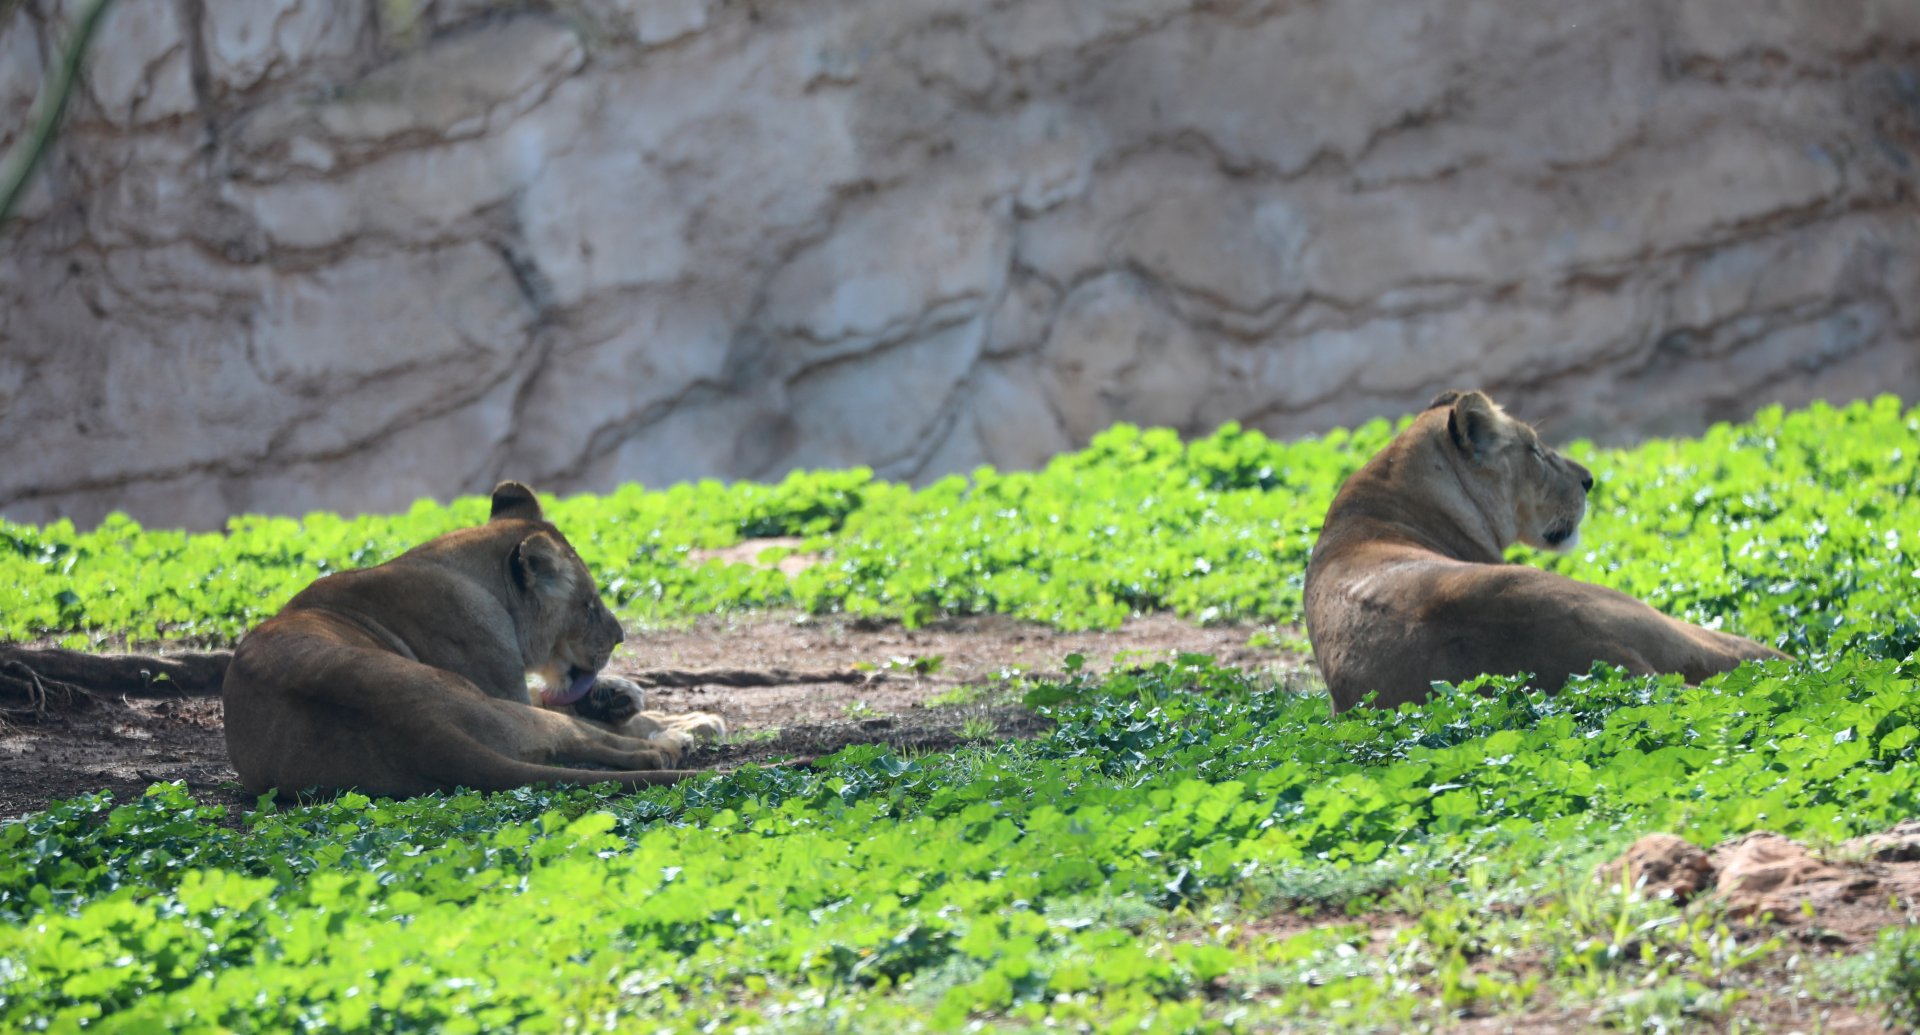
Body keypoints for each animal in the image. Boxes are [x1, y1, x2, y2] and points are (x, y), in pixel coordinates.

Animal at [221, 481, 729, 797]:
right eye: (587, 606)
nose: (620, 637)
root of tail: (420, 726)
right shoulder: (504, 687)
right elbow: (598, 721)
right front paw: (677, 722)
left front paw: (651, 705)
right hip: (496, 705)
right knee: (585, 739)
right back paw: (667, 748)